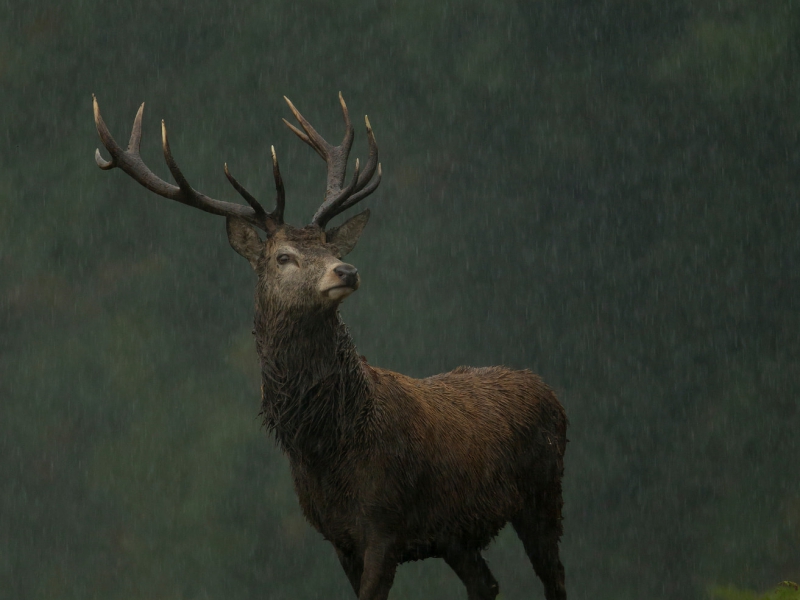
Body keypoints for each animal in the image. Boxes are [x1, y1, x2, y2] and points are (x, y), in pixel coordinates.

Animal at [92, 93, 568, 600]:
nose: (347, 270)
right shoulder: (339, 536)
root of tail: (549, 392)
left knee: (553, 577)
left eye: (330, 247)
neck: (330, 447)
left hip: (544, 494)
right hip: (456, 533)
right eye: (283, 257)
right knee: (486, 583)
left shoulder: (386, 523)